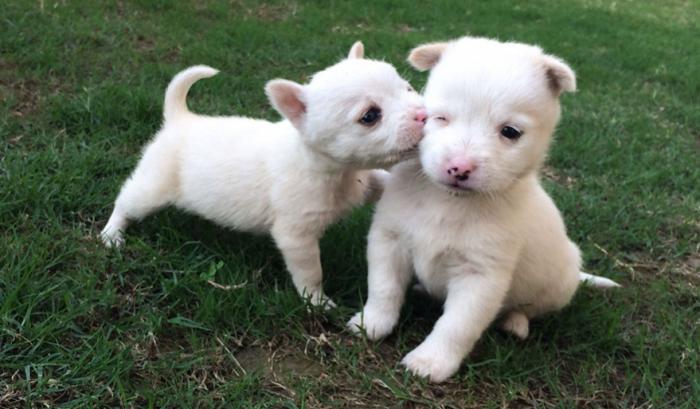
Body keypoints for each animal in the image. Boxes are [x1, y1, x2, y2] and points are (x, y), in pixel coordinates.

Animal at [100, 43, 424, 308]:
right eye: (370, 116)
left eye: (407, 88)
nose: (423, 115)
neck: (334, 170)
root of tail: (180, 119)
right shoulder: (296, 236)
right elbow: (311, 273)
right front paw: (318, 302)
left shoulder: (364, 181)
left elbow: (382, 181)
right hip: (152, 188)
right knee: (125, 202)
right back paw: (111, 235)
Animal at [348, 36, 616, 380]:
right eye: (439, 118)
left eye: (510, 132)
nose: (459, 167)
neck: (447, 201)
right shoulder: (389, 240)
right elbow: (384, 288)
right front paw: (372, 322)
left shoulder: (481, 275)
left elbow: (457, 325)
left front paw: (431, 361)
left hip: (558, 284)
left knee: (529, 309)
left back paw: (515, 322)